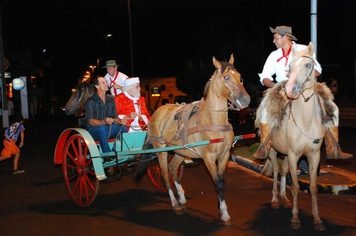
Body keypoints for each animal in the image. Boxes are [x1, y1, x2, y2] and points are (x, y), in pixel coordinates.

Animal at [134, 54, 250, 225]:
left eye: (240, 77)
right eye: (227, 77)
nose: (245, 100)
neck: (213, 121)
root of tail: (156, 113)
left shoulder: (224, 155)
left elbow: (221, 181)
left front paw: (220, 207)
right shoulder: (208, 157)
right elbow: (217, 182)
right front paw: (224, 212)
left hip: (179, 151)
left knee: (172, 169)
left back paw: (181, 198)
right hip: (161, 150)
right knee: (164, 175)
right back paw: (175, 204)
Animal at [256, 42, 326, 230]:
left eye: (308, 65)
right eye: (290, 67)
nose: (290, 89)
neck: (306, 120)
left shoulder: (313, 155)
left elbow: (313, 187)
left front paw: (317, 219)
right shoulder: (295, 154)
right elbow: (294, 186)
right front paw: (295, 219)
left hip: (286, 153)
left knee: (283, 170)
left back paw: (284, 199)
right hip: (273, 150)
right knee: (275, 170)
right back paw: (275, 199)